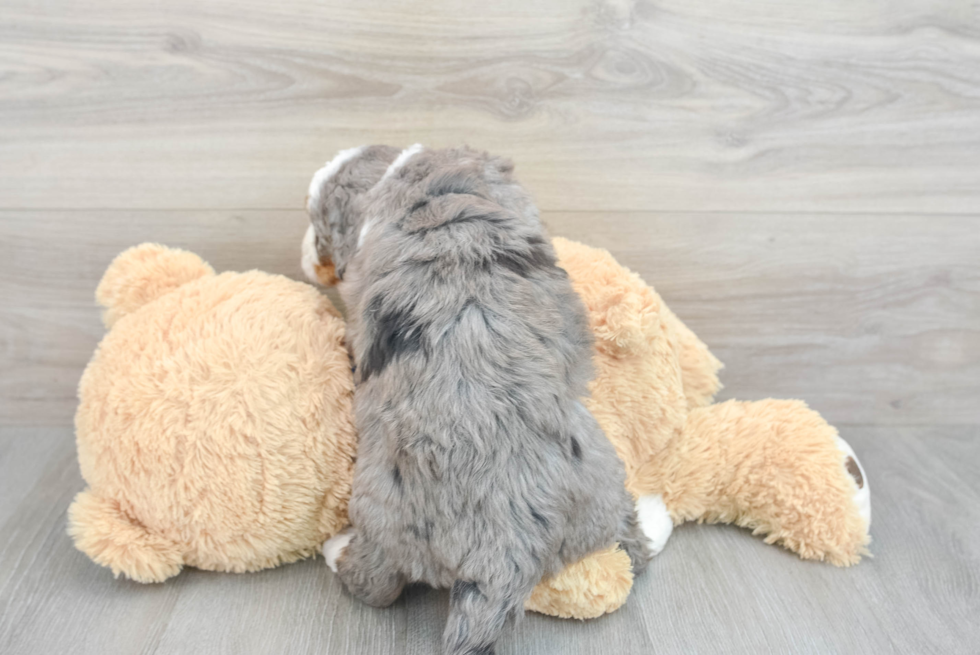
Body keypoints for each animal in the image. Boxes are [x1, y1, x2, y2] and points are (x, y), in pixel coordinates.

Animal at [298, 145, 652, 655]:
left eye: (316, 223)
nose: (307, 253)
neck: (404, 171)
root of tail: (502, 552)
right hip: (601, 467)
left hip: (381, 516)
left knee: (373, 584)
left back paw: (336, 549)